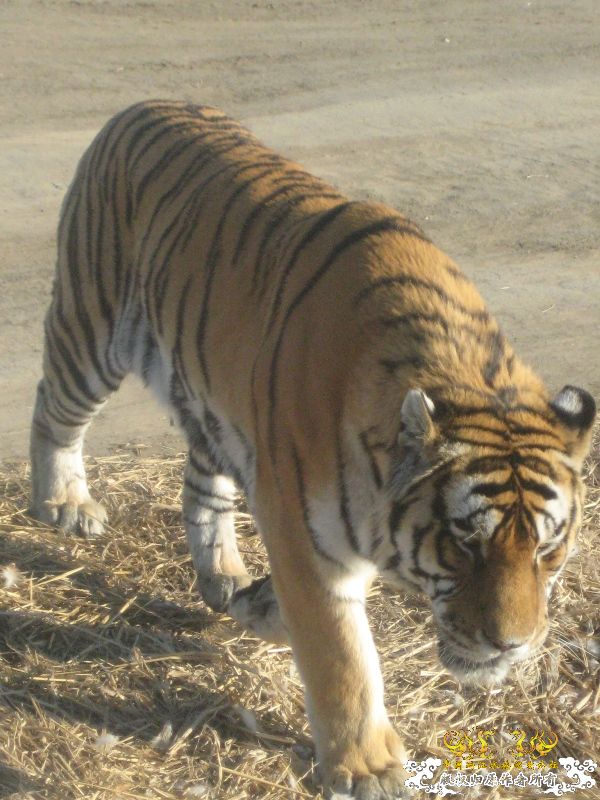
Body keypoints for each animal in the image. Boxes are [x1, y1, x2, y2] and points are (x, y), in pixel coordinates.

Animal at [29, 100, 595, 799]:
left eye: (546, 549)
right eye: (465, 545)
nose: (510, 646)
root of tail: (139, 107)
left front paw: (258, 606)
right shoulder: (306, 535)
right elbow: (342, 657)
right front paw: (368, 767)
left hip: (214, 405)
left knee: (201, 486)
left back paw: (224, 575)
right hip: (93, 329)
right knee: (53, 408)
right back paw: (63, 503)